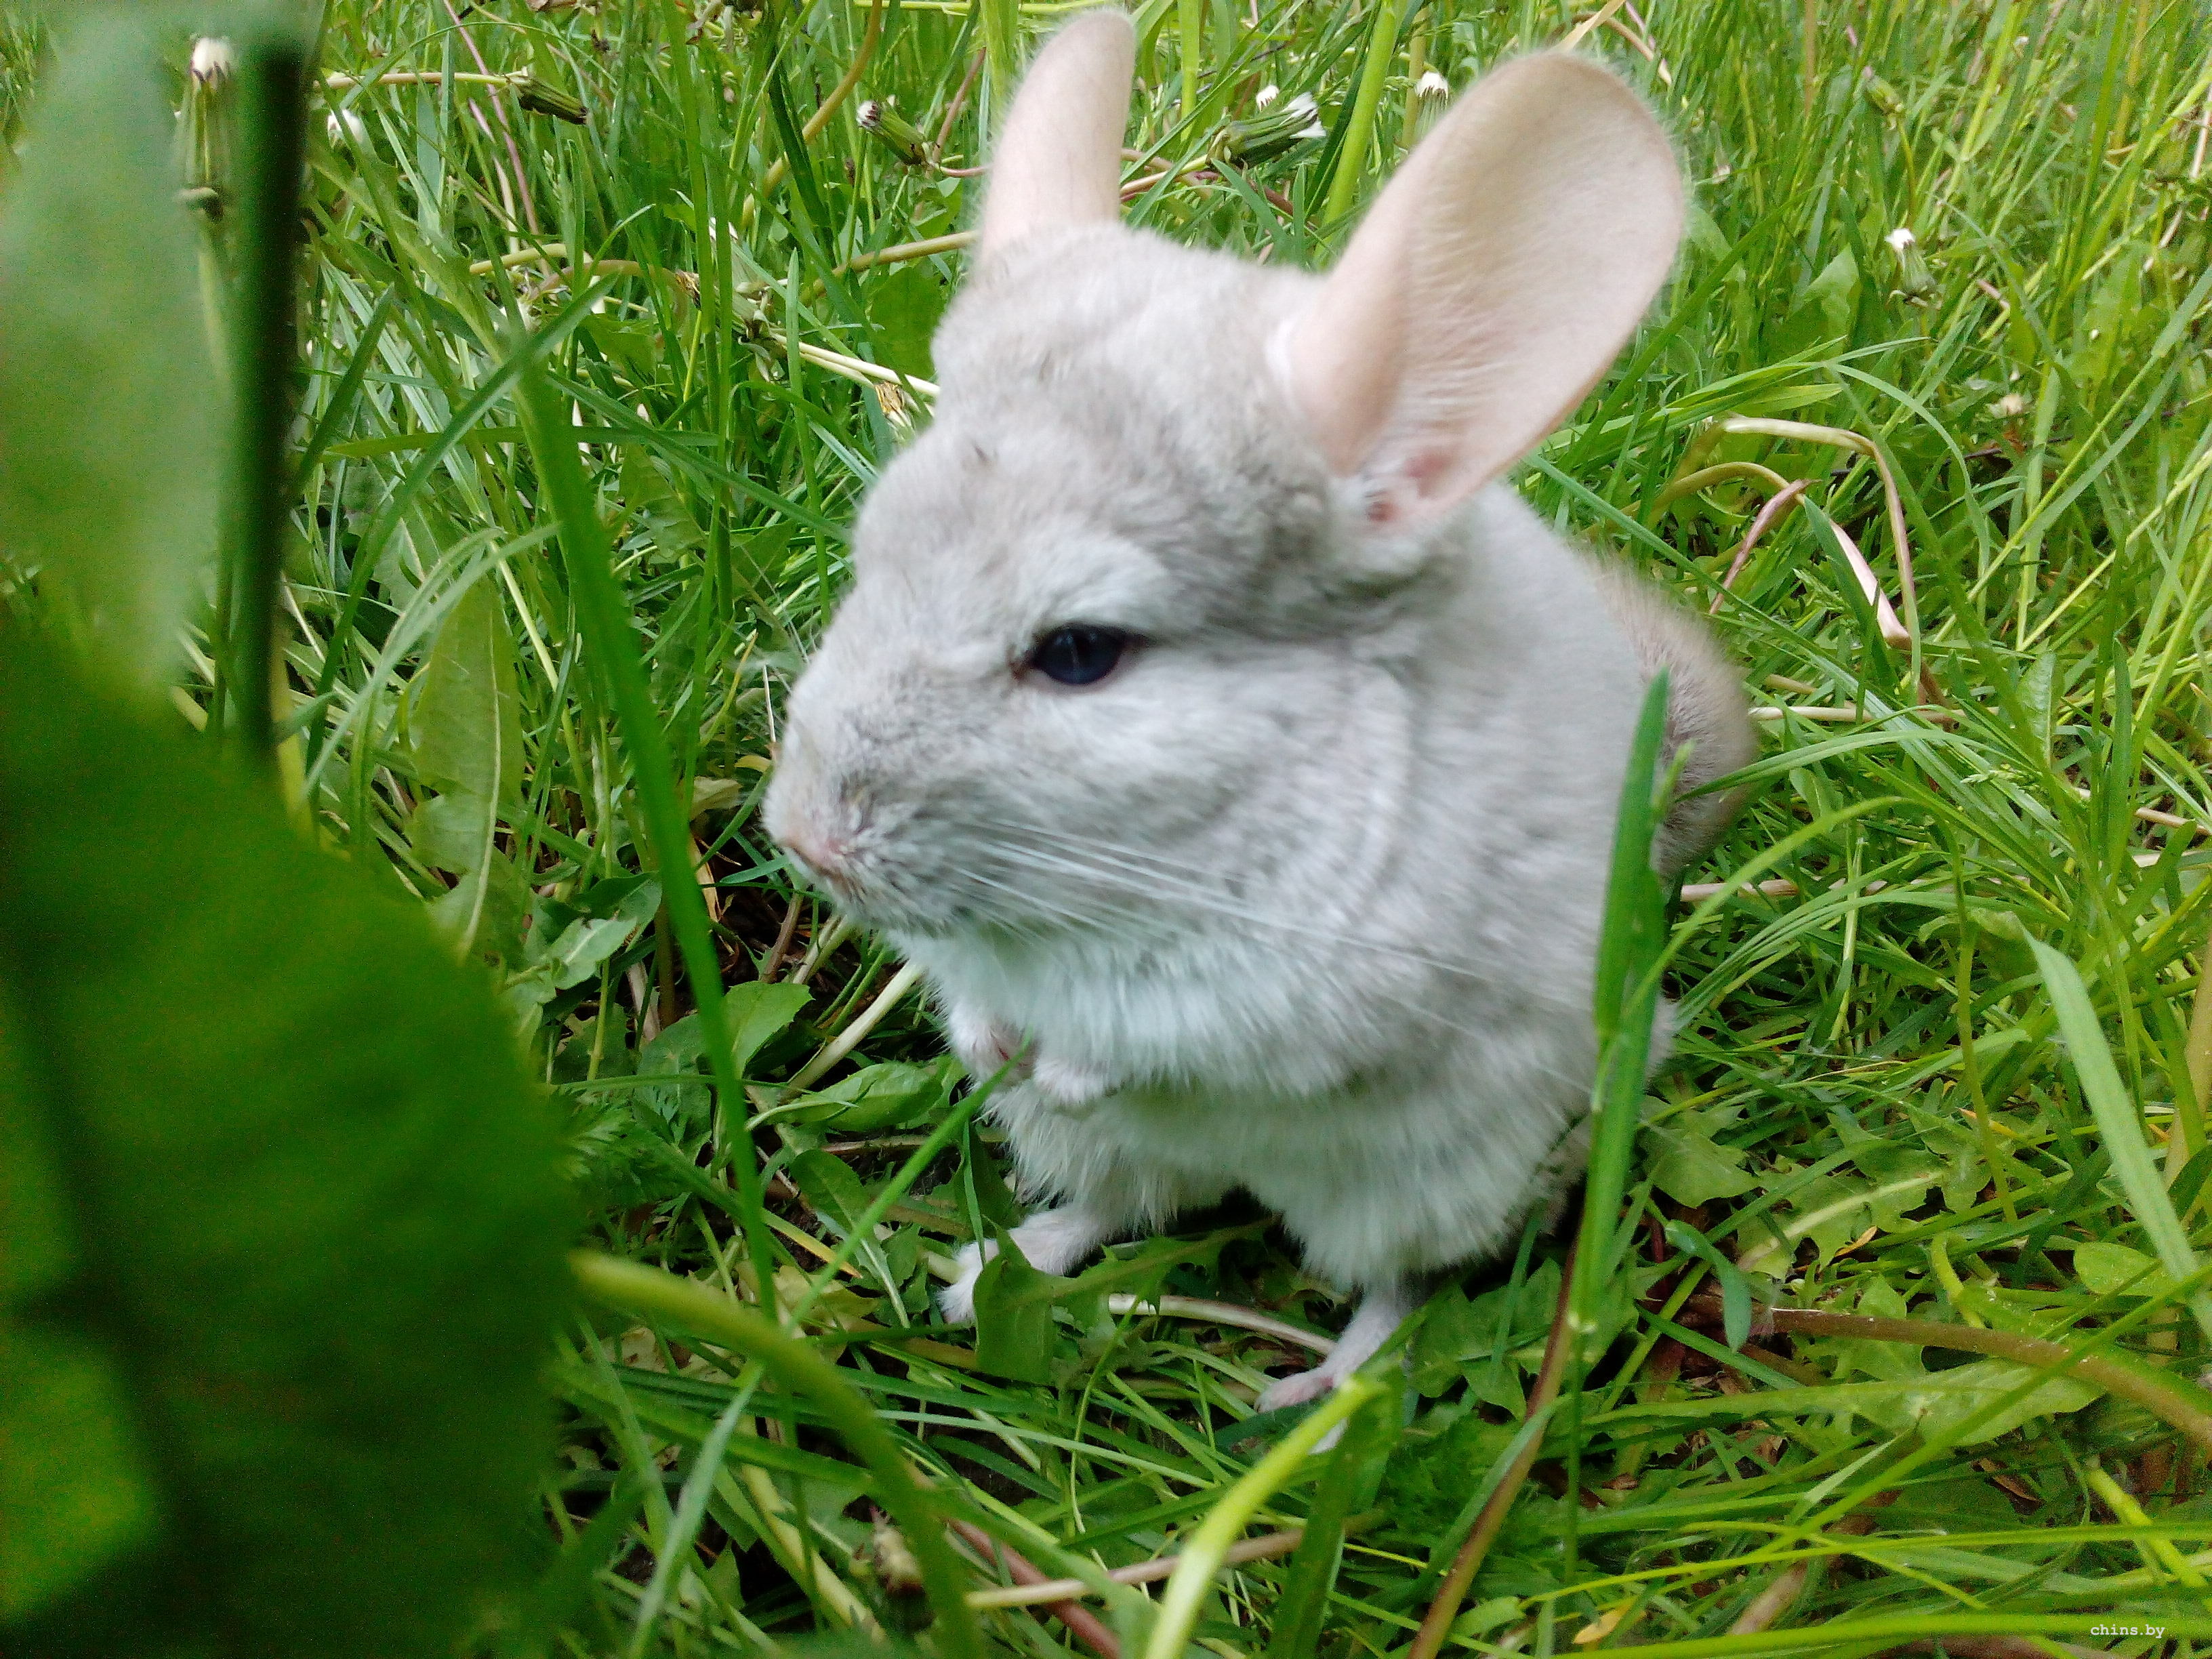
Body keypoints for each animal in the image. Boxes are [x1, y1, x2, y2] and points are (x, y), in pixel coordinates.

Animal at [765, 10, 1753, 1409]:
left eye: (1079, 653)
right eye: (871, 556)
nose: (801, 839)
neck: (1117, 875)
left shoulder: (1300, 991)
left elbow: (1159, 1042)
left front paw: (1058, 1052)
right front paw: (986, 1041)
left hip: (1429, 1182)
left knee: (1391, 1286)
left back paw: (1307, 1398)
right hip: (1121, 1154)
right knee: (1126, 1203)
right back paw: (988, 1268)